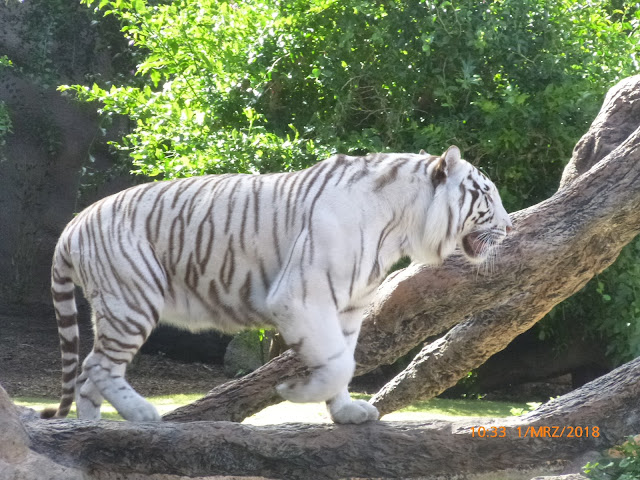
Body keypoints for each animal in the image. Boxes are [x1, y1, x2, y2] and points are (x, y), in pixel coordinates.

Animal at [43, 145, 510, 424]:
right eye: (487, 195)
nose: (508, 229)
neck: (400, 226)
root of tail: (72, 226)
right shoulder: (302, 297)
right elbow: (337, 364)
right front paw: (294, 391)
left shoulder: (348, 308)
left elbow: (346, 360)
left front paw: (346, 413)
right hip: (132, 299)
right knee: (96, 366)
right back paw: (142, 414)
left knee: (87, 376)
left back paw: (92, 427)